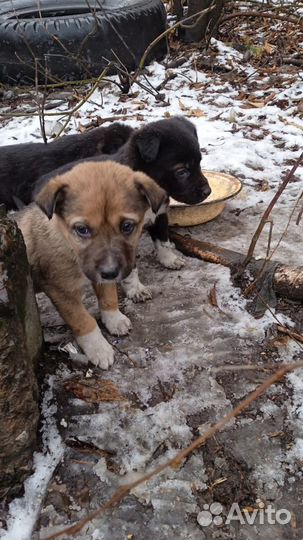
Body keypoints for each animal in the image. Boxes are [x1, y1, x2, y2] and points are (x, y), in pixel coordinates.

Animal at [17, 159, 166, 368]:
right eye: (82, 229)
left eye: (127, 226)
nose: (110, 273)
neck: (67, 244)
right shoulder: (60, 290)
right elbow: (81, 319)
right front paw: (98, 348)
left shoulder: (104, 275)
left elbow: (109, 296)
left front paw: (114, 318)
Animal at [35, 117, 211, 302]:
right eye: (182, 171)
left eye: (200, 162)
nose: (208, 192)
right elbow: (130, 267)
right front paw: (135, 289)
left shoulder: (159, 213)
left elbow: (162, 240)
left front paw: (169, 259)